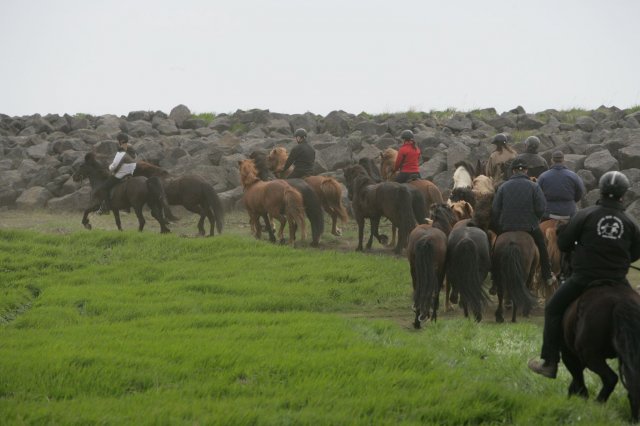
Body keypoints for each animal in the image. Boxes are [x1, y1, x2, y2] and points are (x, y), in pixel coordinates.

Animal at [560, 280, 640, 422]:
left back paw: (595, 407)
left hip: (591, 357)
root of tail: (620, 302)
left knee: (611, 378)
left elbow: (577, 377)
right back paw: (633, 420)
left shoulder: (570, 356)